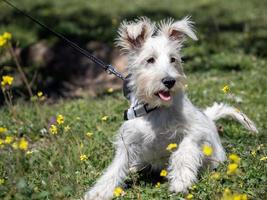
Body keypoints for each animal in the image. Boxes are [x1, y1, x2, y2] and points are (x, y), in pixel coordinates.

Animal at [84, 16, 260, 199]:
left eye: (173, 59)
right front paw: (99, 191)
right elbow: (115, 167)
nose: (169, 81)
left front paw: (181, 181)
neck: (157, 109)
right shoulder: (129, 141)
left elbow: (182, 153)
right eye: (150, 60)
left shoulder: (194, 132)